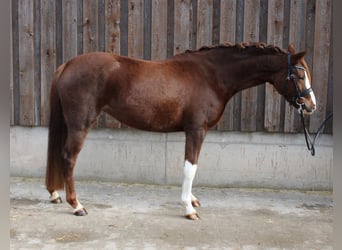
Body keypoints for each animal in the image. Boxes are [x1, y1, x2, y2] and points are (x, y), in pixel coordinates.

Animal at [44, 42, 316, 219]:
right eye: (298, 75)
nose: (311, 106)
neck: (212, 75)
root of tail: (67, 64)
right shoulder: (196, 130)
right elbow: (190, 167)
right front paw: (188, 208)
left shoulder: (196, 132)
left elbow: (193, 167)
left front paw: (192, 200)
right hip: (80, 125)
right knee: (68, 159)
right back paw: (77, 205)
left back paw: (55, 194)